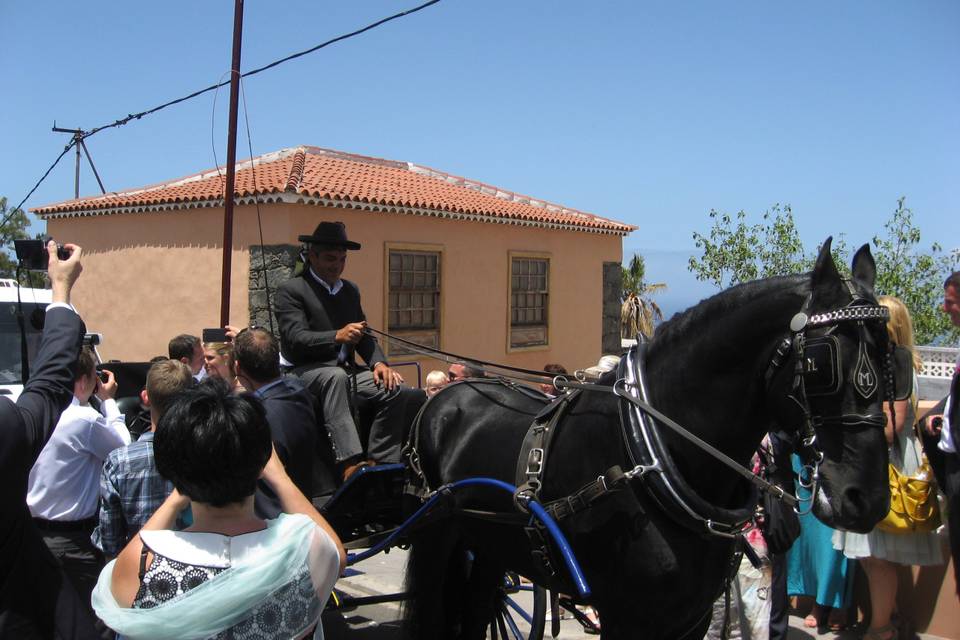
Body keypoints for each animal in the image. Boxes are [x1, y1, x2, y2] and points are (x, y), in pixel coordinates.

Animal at [404, 241, 892, 640]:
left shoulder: (691, 616)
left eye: (891, 360)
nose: (865, 499)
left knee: (478, 608)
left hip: (490, 544)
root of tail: (448, 393)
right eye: (822, 362)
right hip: (437, 532)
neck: (648, 457)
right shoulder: (628, 617)